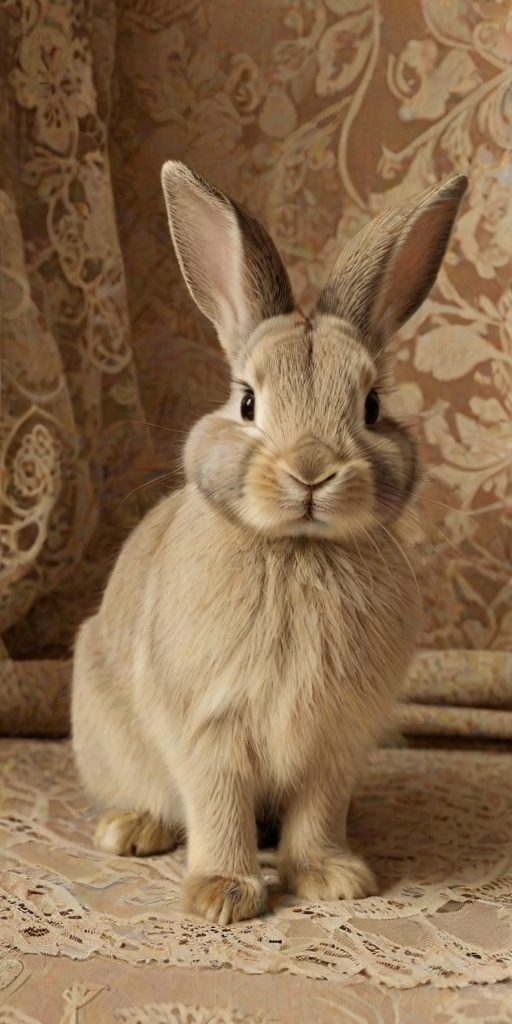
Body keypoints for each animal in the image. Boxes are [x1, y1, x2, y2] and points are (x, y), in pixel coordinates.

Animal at [72, 163, 467, 925]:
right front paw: (221, 896)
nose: (311, 471)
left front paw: (333, 879)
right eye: (247, 402)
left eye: (372, 406)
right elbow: (219, 807)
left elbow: (318, 814)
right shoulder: (210, 727)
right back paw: (131, 830)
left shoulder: (334, 739)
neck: (297, 548)